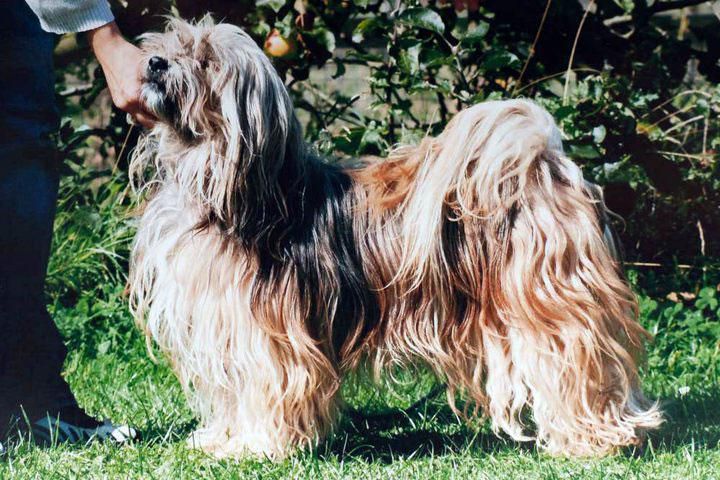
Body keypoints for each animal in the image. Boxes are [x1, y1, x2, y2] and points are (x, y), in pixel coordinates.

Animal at [131, 17, 664, 458]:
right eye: (174, 42)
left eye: (204, 59)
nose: (154, 62)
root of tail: (545, 164)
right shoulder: (223, 327)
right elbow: (231, 392)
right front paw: (222, 438)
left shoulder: (268, 337)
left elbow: (268, 388)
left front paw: (257, 446)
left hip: (553, 308)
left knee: (582, 370)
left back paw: (596, 439)